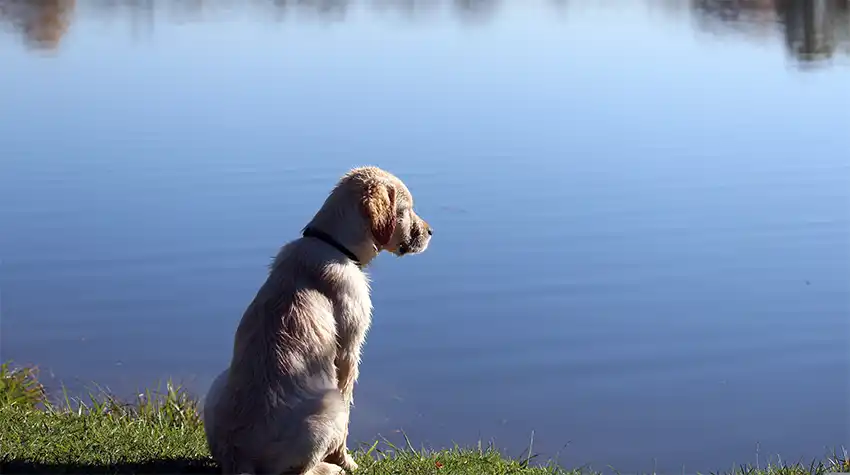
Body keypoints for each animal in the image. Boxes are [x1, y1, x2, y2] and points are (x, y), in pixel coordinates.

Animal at [204, 165, 430, 474]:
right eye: (406, 210)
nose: (431, 232)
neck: (333, 245)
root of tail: (240, 460)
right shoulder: (348, 352)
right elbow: (347, 417)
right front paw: (347, 461)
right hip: (329, 405)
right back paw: (329, 468)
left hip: (215, 386)